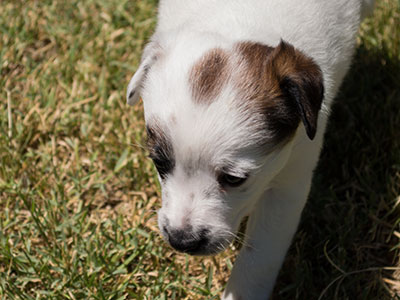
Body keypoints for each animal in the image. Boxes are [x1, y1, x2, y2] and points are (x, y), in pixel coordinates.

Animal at [126, 1, 374, 298]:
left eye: (234, 179)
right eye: (160, 164)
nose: (182, 240)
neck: (237, 22)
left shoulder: (290, 179)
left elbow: (260, 256)